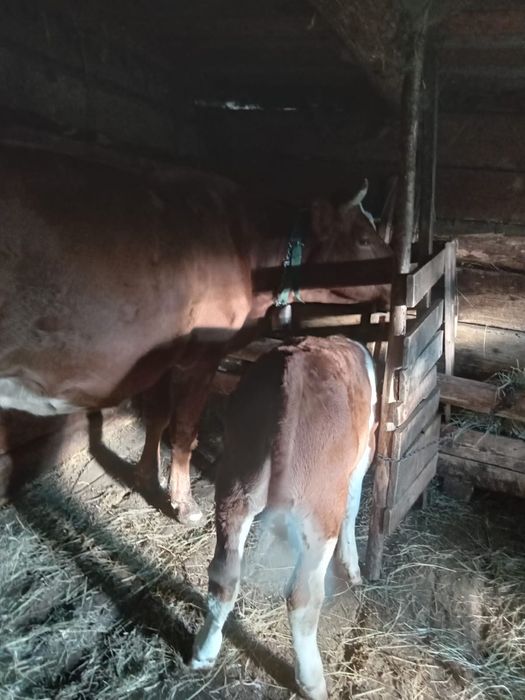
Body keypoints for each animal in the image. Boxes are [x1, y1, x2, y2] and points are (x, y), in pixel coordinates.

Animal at [0, 144, 391, 522]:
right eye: (363, 239)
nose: (397, 275)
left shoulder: (160, 355)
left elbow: (158, 416)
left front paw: (145, 478)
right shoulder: (203, 353)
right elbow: (185, 430)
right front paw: (183, 504)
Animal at [190, 336, 377, 700]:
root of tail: (293, 375)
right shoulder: (363, 454)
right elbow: (354, 504)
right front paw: (354, 569)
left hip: (236, 484)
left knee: (223, 574)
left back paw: (203, 653)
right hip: (319, 508)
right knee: (302, 596)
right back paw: (312, 681)